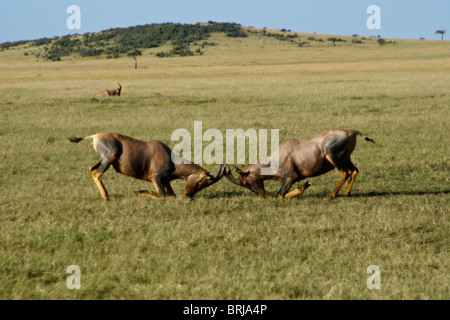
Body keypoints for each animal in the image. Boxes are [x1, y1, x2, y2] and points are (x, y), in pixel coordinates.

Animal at [67, 132, 225, 200]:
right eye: (202, 181)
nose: (188, 194)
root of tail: (95, 136)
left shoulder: (165, 180)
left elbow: (171, 194)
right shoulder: (156, 178)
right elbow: (163, 195)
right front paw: (139, 191)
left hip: (106, 161)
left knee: (91, 169)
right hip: (108, 159)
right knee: (96, 174)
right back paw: (106, 197)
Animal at [223, 129, 374, 199]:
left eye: (245, 182)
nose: (262, 194)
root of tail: (351, 132)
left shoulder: (290, 177)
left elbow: (279, 195)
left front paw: (302, 187)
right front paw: (304, 186)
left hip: (335, 158)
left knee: (346, 172)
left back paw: (332, 195)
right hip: (346, 158)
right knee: (354, 170)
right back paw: (345, 194)